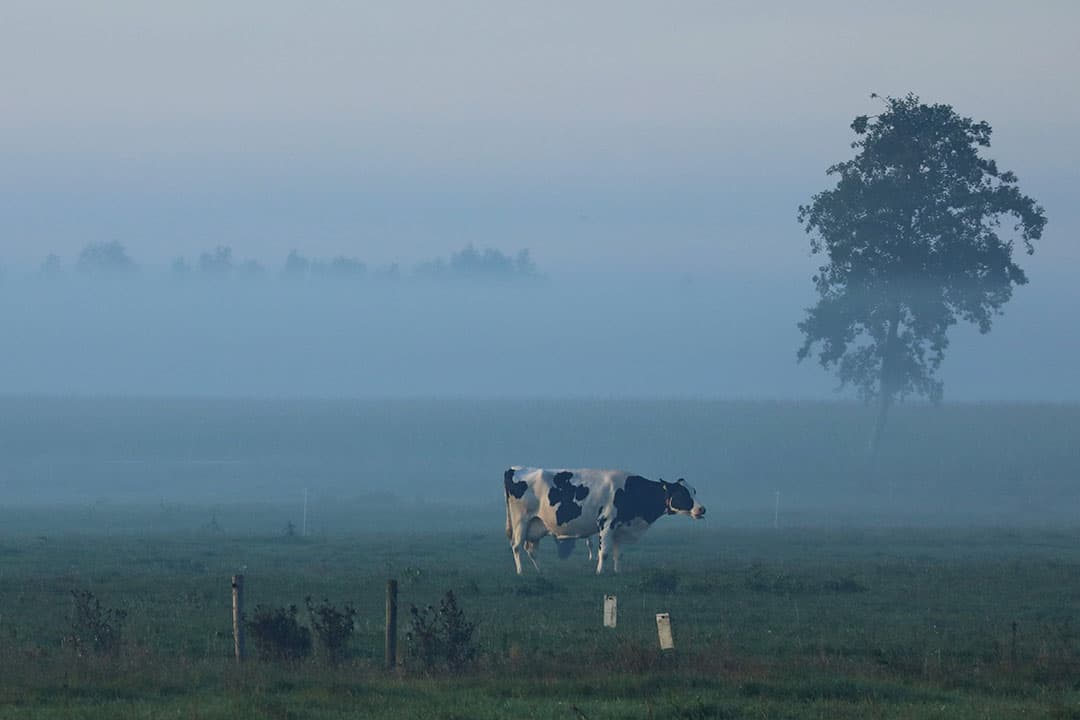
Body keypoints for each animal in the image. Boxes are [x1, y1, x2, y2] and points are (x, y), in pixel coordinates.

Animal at [504, 466, 706, 574]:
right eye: (683, 493)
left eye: (694, 490)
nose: (702, 509)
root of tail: (514, 469)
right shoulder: (606, 523)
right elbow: (604, 553)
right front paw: (599, 572)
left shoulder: (621, 529)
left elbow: (618, 554)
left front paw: (617, 572)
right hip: (521, 520)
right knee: (516, 546)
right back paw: (520, 572)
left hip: (535, 525)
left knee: (531, 550)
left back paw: (539, 572)